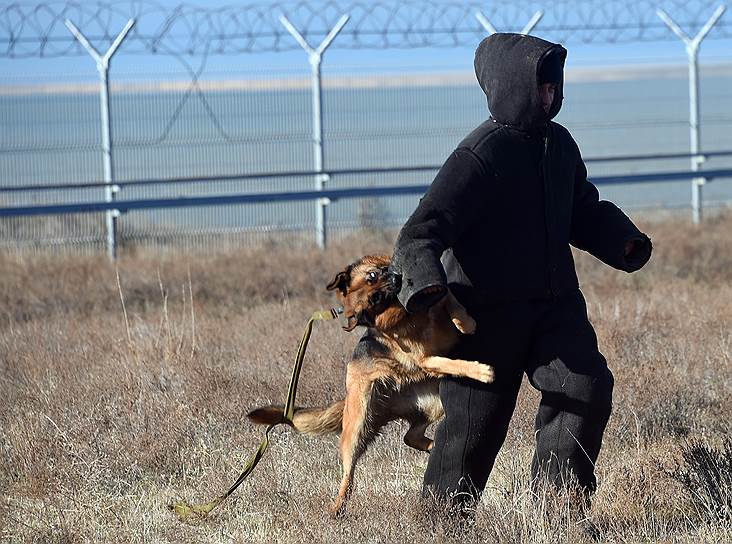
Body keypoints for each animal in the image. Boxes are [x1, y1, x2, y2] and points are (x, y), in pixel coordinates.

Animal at [249, 255, 494, 516]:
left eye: (373, 275)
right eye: (376, 298)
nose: (397, 280)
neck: (406, 316)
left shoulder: (438, 297)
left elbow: (449, 297)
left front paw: (465, 323)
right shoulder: (426, 360)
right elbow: (453, 363)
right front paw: (481, 371)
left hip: (433, 402)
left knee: (410, 436)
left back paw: (431, 444)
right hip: (357, 427)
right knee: (350, 470)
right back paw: (338, 505)